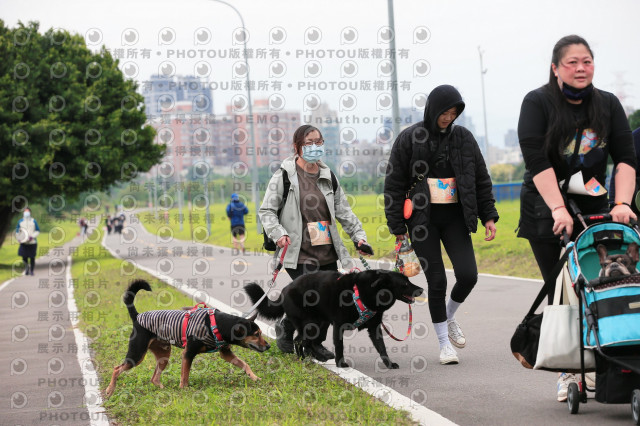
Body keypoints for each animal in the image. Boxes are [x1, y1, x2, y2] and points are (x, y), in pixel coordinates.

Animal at [105, 280, 270, 397]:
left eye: (261, 333)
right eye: (256, 335)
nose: (268, 346)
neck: (217, 324)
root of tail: (137, 316)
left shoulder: (225, 353)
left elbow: (244, 364)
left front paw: (255, 377)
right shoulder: (188, 353)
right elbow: (184, 375)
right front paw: (183, 390)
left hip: (163, 354)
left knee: (154, 378)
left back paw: (163, 389)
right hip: (137, 354)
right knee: (117, 368)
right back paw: (110, 389)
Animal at [244, 269, 423, 369]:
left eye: (409, 280)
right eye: (405, 284)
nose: (421, 289)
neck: (366, 292)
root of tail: (284, 290)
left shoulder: (374, 328)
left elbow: (382, 348)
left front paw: (389, 364)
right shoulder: (339, 325)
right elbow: (340, 346)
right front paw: (341, 364)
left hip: (319, 322)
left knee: (305, 341)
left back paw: (314, 357)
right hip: (312, 324)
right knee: (300, 340)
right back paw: (305, 358)